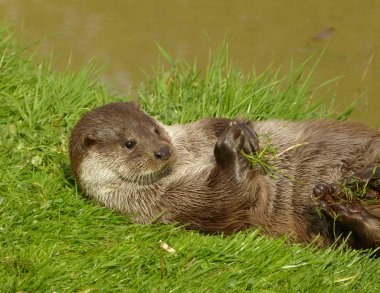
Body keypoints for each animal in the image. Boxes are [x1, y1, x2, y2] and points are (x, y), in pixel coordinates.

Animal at [70, 101, 380, 251]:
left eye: (155, 129)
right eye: (129, 143)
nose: (162, 151)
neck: (186, 158)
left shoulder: (190, 133)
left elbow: (213, 123)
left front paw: (238, 128)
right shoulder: (157, 204)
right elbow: (221, 199)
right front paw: (230, 149)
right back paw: (347, 207)